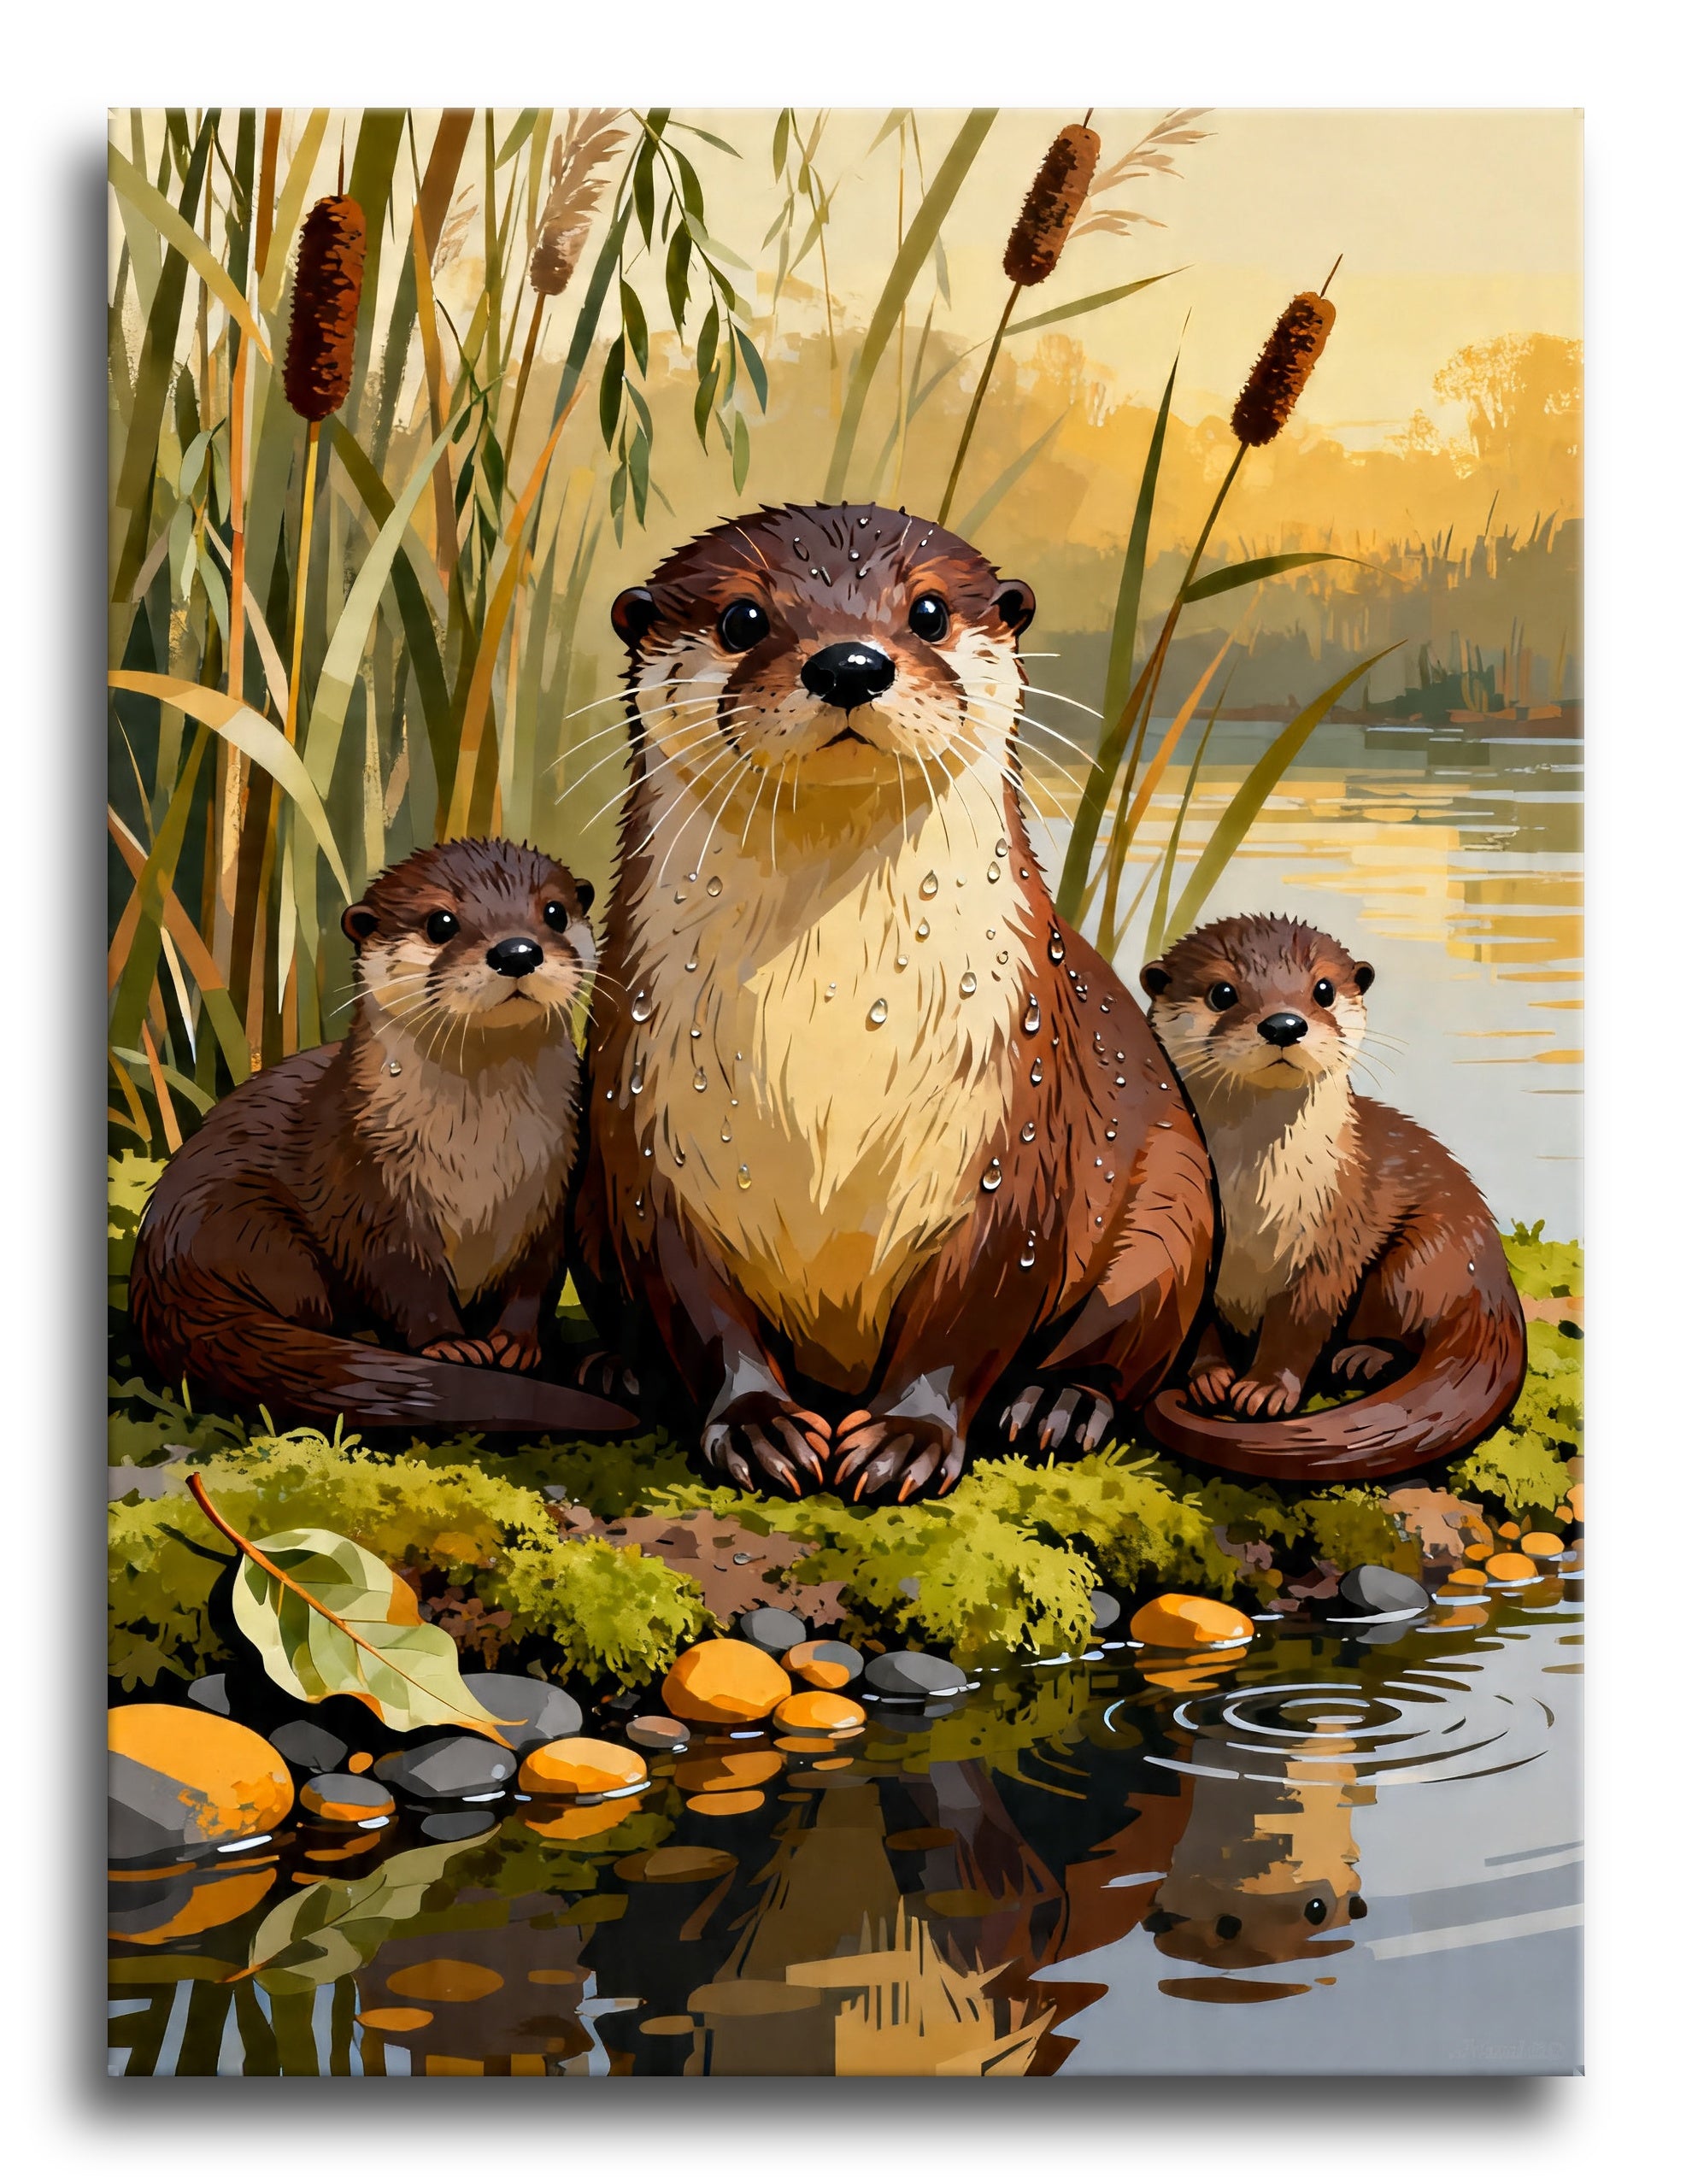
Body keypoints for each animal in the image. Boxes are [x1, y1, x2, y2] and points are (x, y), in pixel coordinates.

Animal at [130, 838, 637, 1437]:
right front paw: (449, 1346)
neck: (480, 1154)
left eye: (555, 912)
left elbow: (537, 1275)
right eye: (441, 922)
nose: (517, 951)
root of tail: (161, 1276)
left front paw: (515, 1342)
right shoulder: (367, 1181)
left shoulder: (553, 1184)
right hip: (249, 1226)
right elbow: (401, 1274)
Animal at [571, 502, 1214, 1501]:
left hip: (1176, 1195)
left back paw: (1062, 1403)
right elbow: (697, 1304)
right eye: (742, 619)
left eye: (930, 612)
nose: (849, 663)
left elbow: (973, 1306)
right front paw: (757, 1425)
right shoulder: (645, 1134)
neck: (834, 1019)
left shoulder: (1018, 1126)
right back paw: (619, 1370)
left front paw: (908, 1434)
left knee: (1133, 1326)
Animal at [1139, 913, 1525, 1480]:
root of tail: (1495, 1289)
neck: (1252, 1201)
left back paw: (1363, 1356)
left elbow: (1302, 1317)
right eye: (1221, 993)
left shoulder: (1338, 1226)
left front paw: (1264, 1389)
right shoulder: (1191, 1223)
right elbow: (1197, 1318)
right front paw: (1209, 1375)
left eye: (1323, 989)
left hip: (1423, 1260)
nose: (1284, 1024)